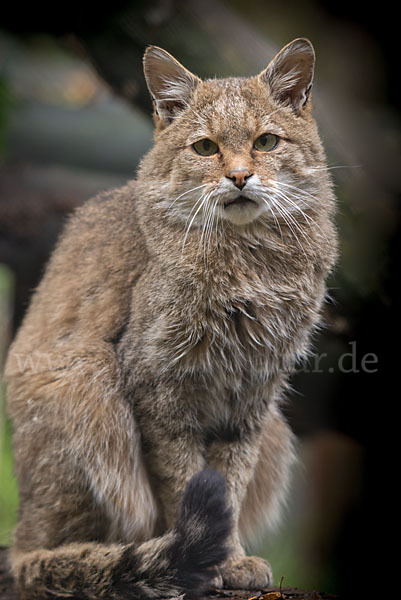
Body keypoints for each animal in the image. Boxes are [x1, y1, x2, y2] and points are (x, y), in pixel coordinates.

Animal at [5, 39, 338, 596]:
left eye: (267, 141)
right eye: (205, 149)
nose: (240, 177)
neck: (249, 259)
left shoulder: (253, 396)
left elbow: (228, 481)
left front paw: (228, 557)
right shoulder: (158, 386)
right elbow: (183, 480)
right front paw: (207, 558)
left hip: (276, 430)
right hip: (85, 376)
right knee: (38, 559)